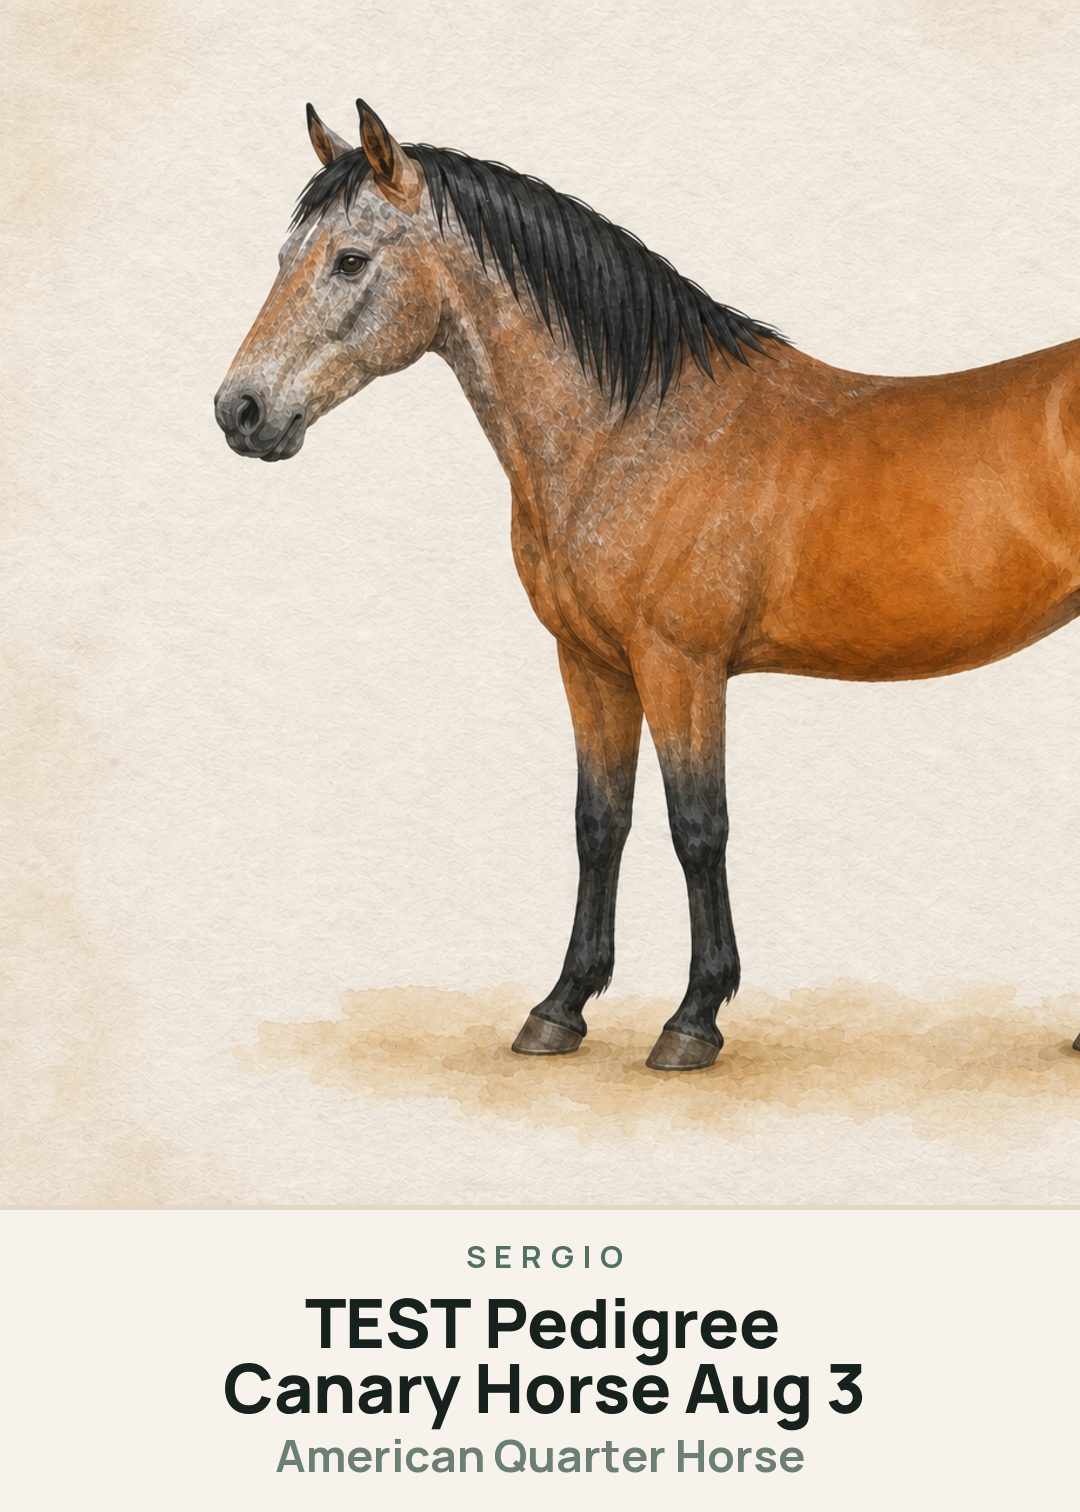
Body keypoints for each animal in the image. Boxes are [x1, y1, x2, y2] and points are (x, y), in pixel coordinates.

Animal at [216, 100, 1080, 1070]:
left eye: (351, 259)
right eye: (284, 257)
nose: (240, 412)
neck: (636, 433)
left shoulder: (682, 666)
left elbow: (697, 829)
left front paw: (693, 1019)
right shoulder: (591, 664)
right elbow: (601, 824)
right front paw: (560, 1008)